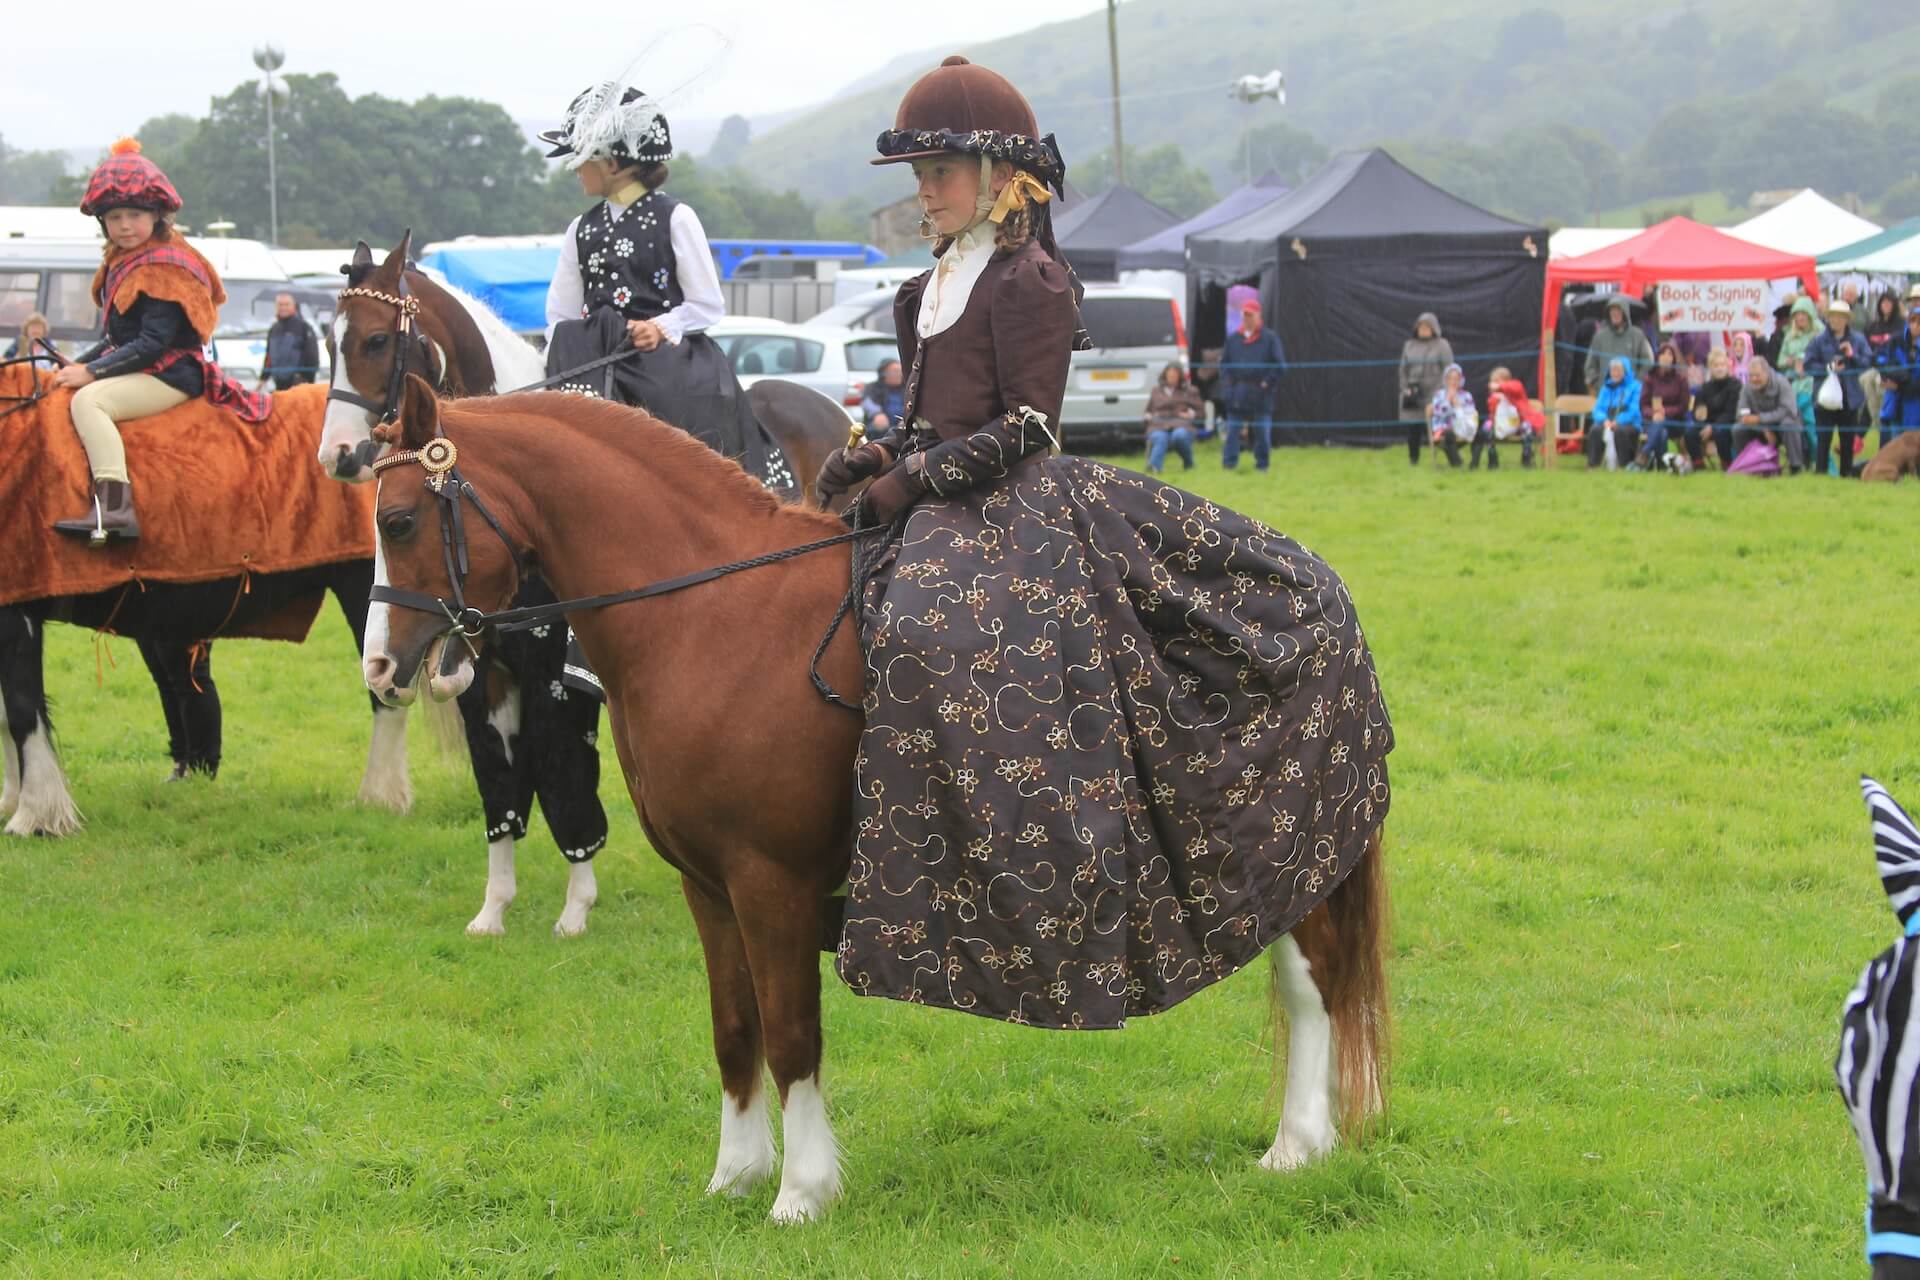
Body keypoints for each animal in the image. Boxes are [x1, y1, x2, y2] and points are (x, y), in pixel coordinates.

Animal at [362, 374, 1390, 1222]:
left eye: (402, 520)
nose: (380, 667)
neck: (714, 620)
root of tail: (1325, 586)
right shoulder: (708, 886)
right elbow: (734, 1030)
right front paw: (735, 1175)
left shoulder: (770, 883)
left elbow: (791, 1035)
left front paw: (801, 1193)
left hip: (1279, 845)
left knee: (1311, 984)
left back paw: (1297, 1145)